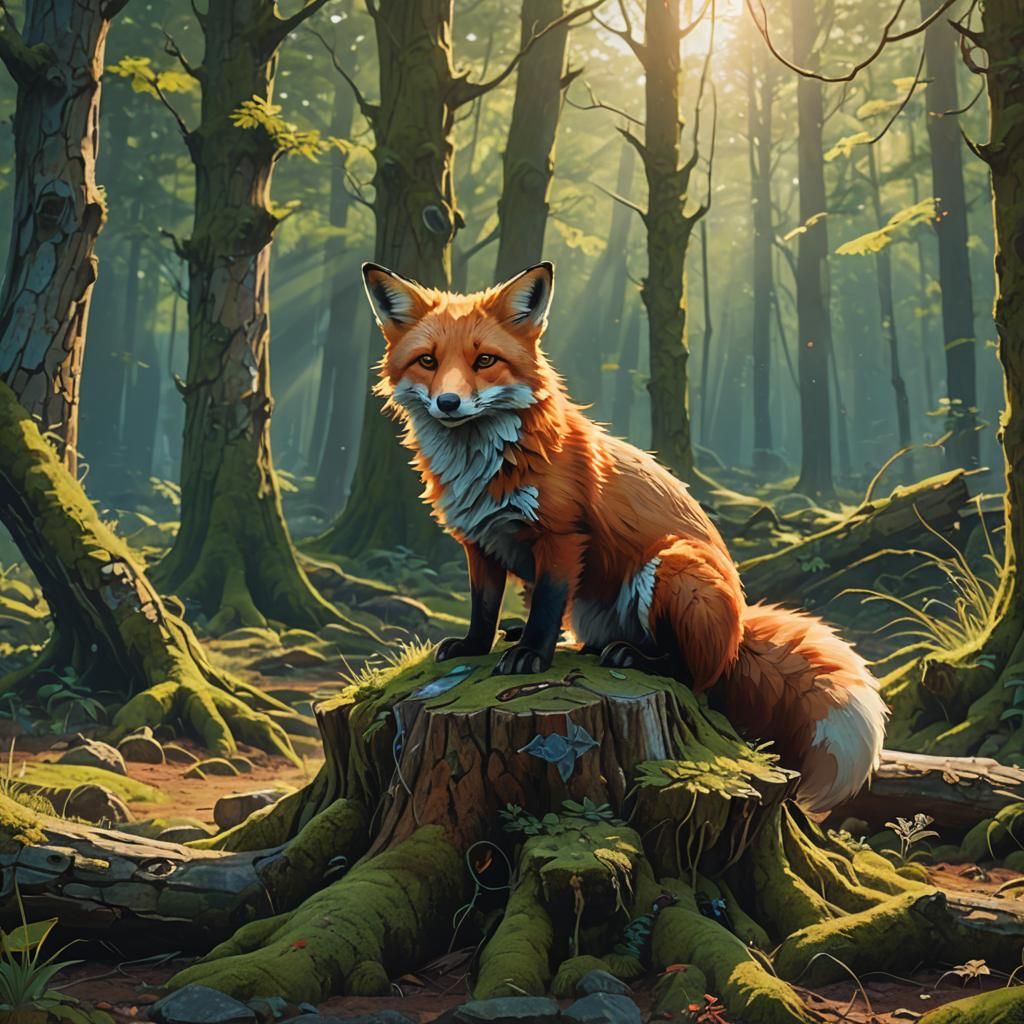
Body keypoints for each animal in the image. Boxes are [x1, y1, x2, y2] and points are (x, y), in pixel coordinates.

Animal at [360, 259, 887, 813]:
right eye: (427, 361)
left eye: (485, 360)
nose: (448, 402)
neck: (485, 465)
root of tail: (739, 630)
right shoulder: (479, 542)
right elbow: (483, 608)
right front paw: (475, 646)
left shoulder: (562, 536)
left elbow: (546, 604)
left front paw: (531, 656)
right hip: (601, 606)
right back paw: (585, 646)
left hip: (672, 568)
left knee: (693, 673)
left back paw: (635, 658)